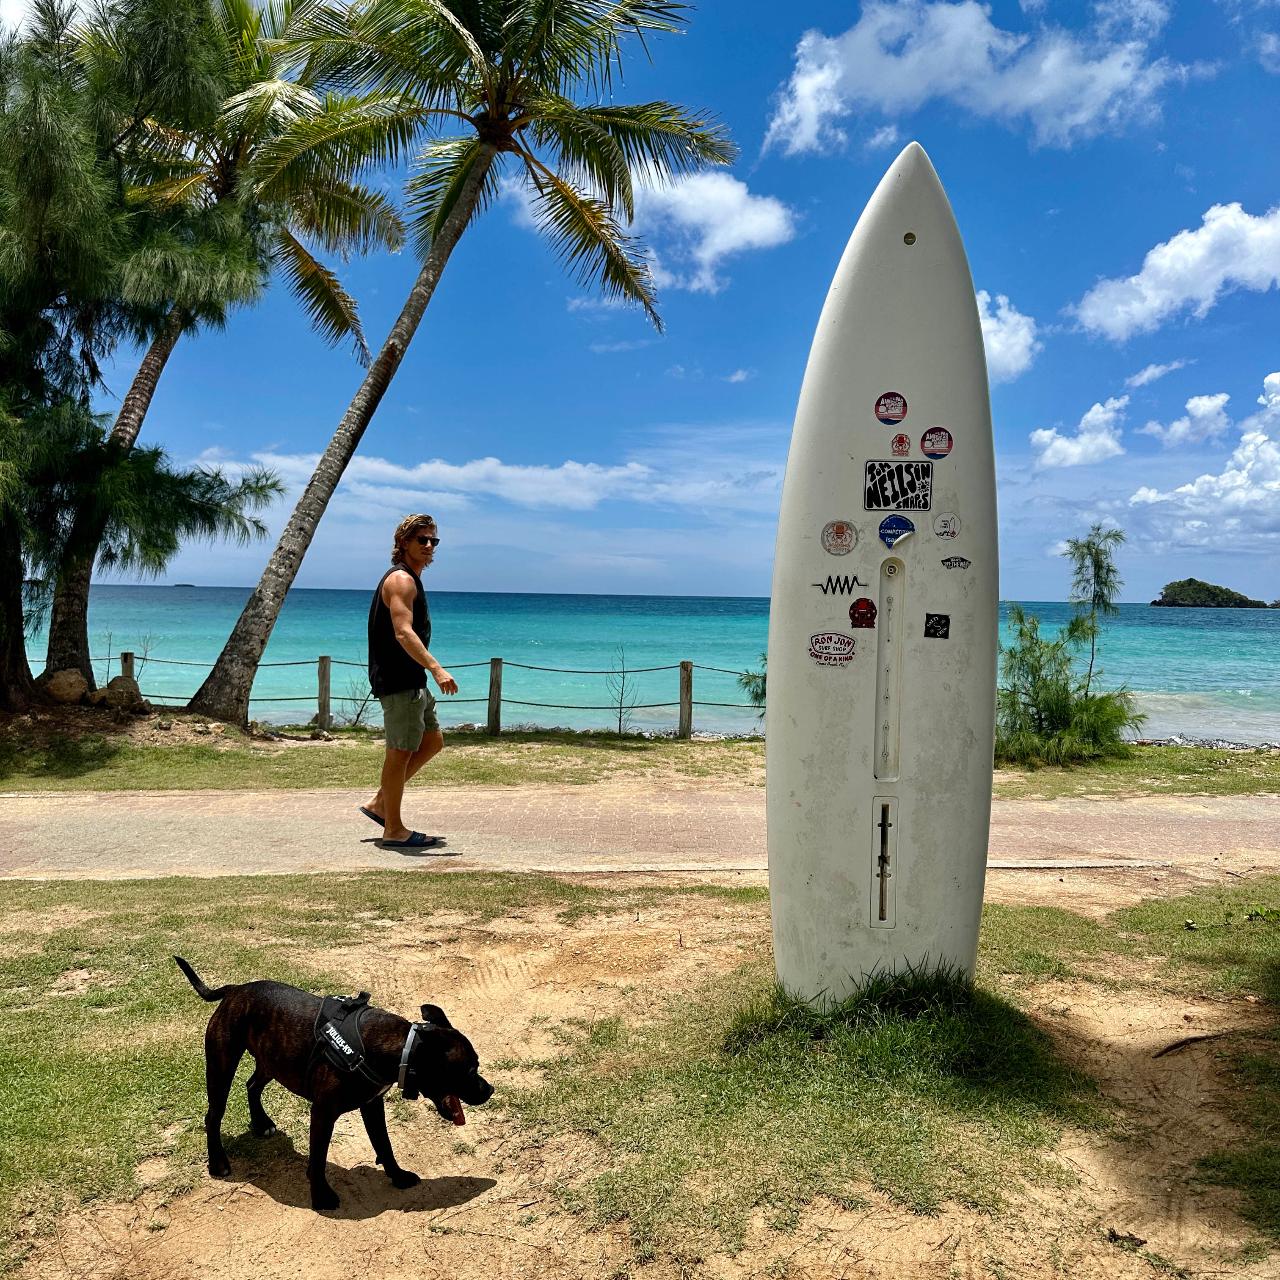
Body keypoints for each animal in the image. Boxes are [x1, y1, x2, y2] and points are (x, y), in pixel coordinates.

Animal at [171, 962, 488, 1208]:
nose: (489, 1089)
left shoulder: (372, 1105)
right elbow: (320, 1157)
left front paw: (397, 1176)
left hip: (273, 1061)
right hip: (222, 1065)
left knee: (252, 1085)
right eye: (471, 1069)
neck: (400, 1049)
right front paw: (321, 1195)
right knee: (213, 1115)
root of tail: (235, 990)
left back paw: (261, 1123)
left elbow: (384, 1144)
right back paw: (218, 1162)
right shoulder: (323, 1114)